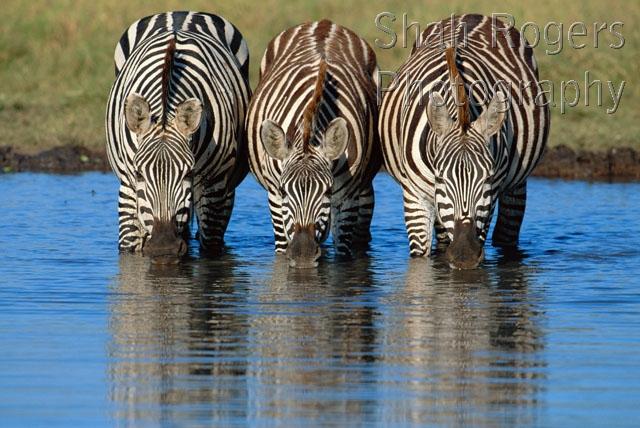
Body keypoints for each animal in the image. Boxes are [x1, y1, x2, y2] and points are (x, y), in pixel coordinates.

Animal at [105, 11, 251, 260]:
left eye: (188, 173)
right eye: (139, 174)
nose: (163, 248)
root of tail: (180, 13)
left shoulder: (214, 184)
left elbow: (210, 251)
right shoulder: (127, 185)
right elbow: (129, 248)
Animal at [246, 20, 381, 268]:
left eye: (328, 190)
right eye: (284, 190)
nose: (303, 255)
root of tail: (323, 23)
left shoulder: (347, 197)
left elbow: (343, 255)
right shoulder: (275, 196)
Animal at [379, 14, 549, 269]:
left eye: (488, 178)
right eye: (440, 177)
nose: (464, 255)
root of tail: (472, 15)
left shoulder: (489, 198)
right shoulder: (414, 195)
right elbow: (420, 255)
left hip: (517, 183)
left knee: (507, 233)